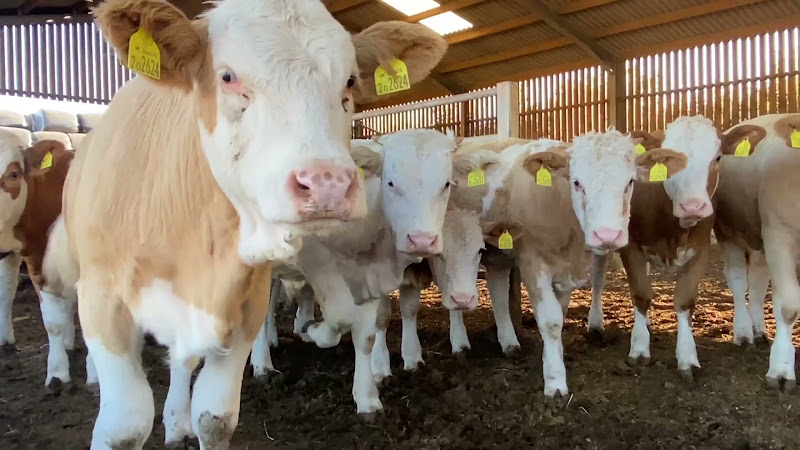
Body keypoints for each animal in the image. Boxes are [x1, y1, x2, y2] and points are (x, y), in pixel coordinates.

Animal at [64, 0, 447, 448]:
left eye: (350, 80)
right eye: (227, 76)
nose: (328, 185)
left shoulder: (251, 299)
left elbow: (216, 418)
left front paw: (366, 393)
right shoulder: (102, 299)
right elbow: (124, 428)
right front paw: (314, 333)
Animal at [589, 115, 753, 383]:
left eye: (717, 157)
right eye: (667, 161)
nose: (693, 206)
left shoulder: (700, 249)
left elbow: (685, 300)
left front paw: (687, 357)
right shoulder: (630, 247)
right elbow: (640, 294)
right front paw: (639, 349)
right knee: (597, 278)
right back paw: (595, 325)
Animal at [712, 113, 800, 390]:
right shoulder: (779, 237)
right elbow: (788, 306)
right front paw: (781, 370)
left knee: (759, 280)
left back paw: (758, 329)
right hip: (730, 231)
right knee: (739, 279)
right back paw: (743, 332)